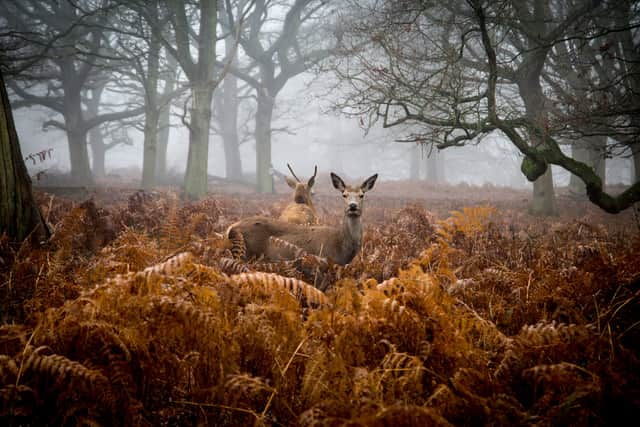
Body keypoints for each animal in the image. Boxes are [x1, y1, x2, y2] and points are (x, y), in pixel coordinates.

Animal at [228, 172, 378, 266]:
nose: (353, 206)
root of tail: (230, 229)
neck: (341, 246)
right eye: (344, 194)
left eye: (362, 194)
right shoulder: (324, 261)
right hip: (247, 255)